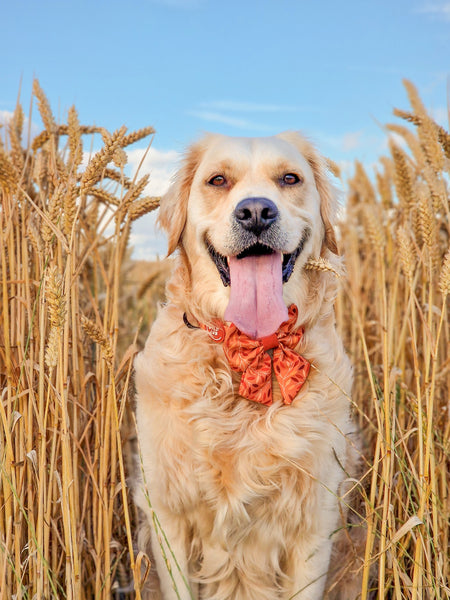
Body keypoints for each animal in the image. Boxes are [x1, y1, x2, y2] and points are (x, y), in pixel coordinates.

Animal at [134, 132, 356, 600]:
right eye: (218, 180)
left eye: (290, 178)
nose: (256, 211)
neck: (251, 349)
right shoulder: (168, 517)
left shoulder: (315, 525)